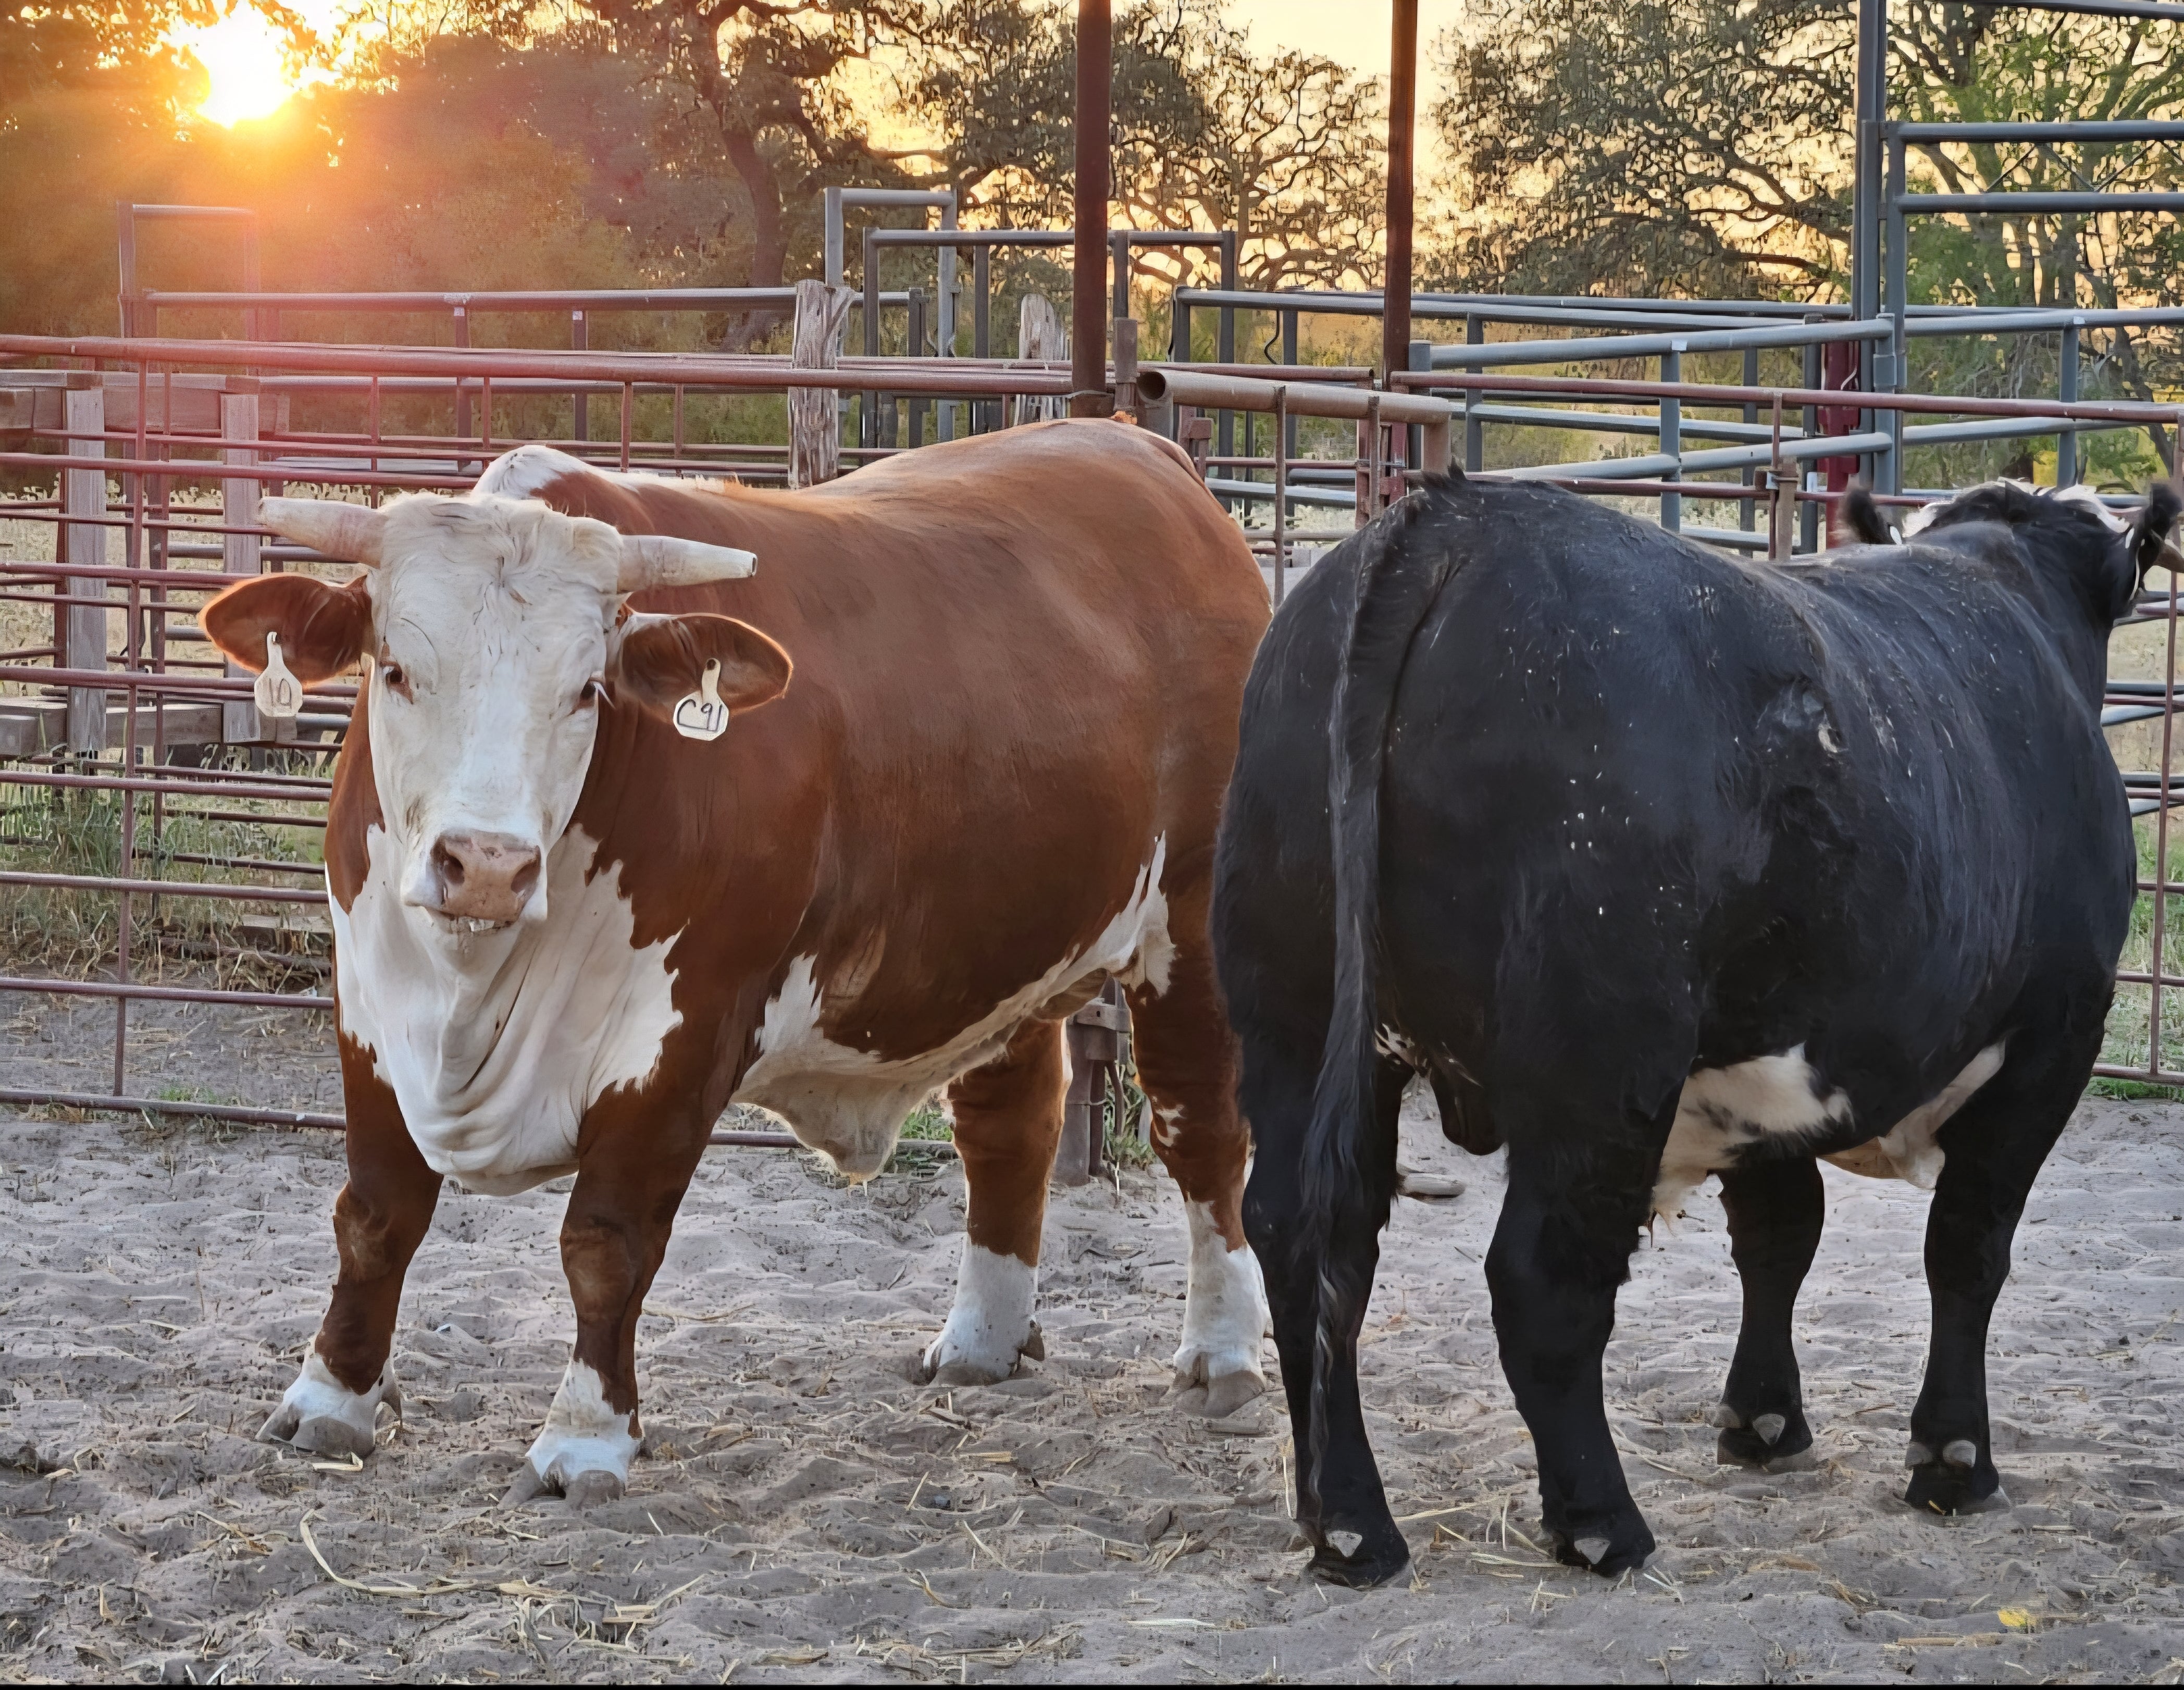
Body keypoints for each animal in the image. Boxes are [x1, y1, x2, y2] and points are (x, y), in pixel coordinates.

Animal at [199, 420, 1272, 1506]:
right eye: (395, 669)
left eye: (587, 688)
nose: (487, 864)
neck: (475, 977)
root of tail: (1138, 447)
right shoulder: (371, 1002)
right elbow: (377, 1214)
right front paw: (331, 1395)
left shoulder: (684, 1030)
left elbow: (606, 1242)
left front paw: (585, 1435)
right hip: (997, 934)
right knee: (1009, 1128)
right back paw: (981, 1339)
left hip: (1191, 924)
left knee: (1200, 1131)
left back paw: (1223, 1353)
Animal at [1211, 470, 2182, 1586]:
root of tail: (1453, 517)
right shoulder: (2053, 1039)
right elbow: (1965, 1248)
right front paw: (1950, 1457)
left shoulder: (1768, 1062)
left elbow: (1780, 1232)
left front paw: (1762, 1417)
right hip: (1600, 1060)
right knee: (1541, 1277)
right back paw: (1599, 1518)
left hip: (1294, 1020)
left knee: (1309, 1236)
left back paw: (1347, 1520)